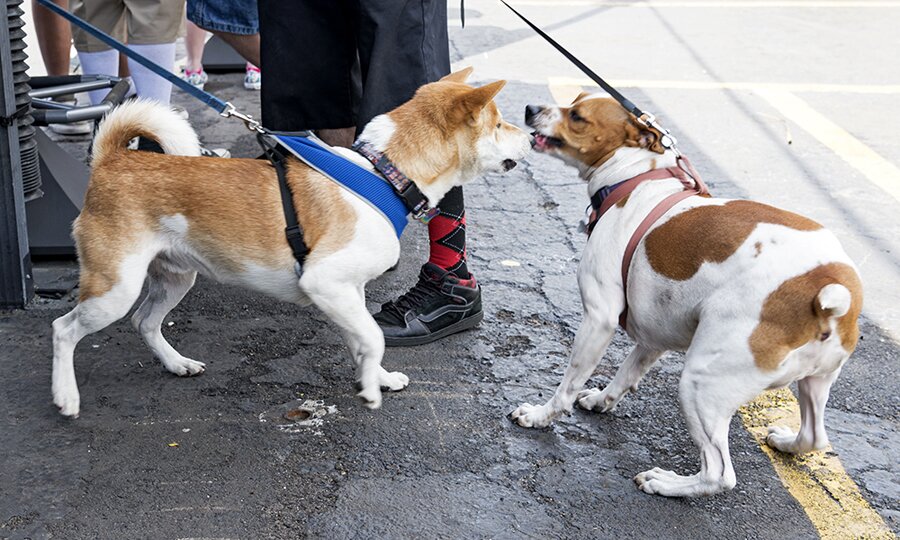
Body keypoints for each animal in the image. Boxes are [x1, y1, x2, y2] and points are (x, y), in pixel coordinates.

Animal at [51, 68, 536, 418]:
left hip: (174, 278)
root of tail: (114, 159)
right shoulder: (326, 282)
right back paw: (66, 396)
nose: (532, 135)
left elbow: (365, 338)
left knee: (145, 323)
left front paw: (375, 376)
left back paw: (176, 364)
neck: (386, 172)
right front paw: (371, 389)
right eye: (497, 124)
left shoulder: (344, 292)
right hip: (114, 288)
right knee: (64, 329)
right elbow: (373, 336)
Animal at [510, 93, 860, 498]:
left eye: (577, 116)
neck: (635, 177)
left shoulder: (599, 319)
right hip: (814, 383)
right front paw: (600, 400)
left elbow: (568, 385)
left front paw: (541, 416)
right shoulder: (654, 336)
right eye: (574, 101)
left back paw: (667, 483)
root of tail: (828, 288)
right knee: (815, 437)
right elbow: (625, 375)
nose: (530, 109)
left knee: (719, 474)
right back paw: (788, 443)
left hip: (700, 383)